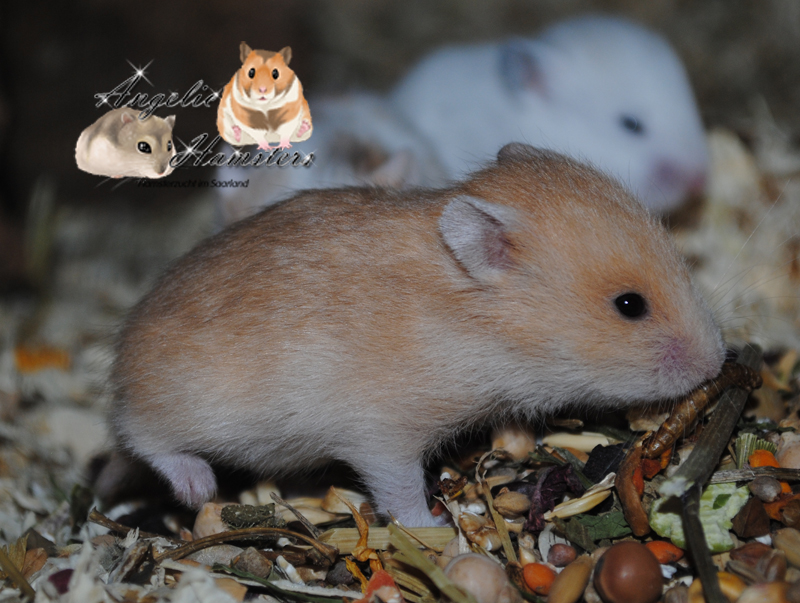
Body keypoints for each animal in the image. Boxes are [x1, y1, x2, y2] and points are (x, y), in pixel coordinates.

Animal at [108, 143, 724, 527]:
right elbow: (399, 489)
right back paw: (199, 488)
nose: (720, 361)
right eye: (629, 305)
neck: (471, 322)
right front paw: (433, 525)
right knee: (138, 435)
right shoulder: (380, 435)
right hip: (180, 405)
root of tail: (119, 362)